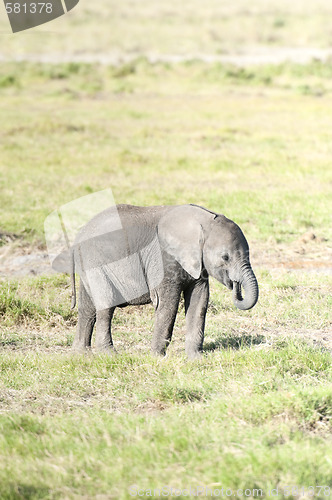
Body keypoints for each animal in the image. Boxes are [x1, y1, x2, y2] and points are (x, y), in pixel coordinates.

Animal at [68, 204, 258, 360]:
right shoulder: (163, 258)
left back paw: (81, 355)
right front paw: (158, 358)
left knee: (87, 308)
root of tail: (78, 236)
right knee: (106, 306)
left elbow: (199, 301)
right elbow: (167, 303)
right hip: (95, 262)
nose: (235, 285)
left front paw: (196, 359)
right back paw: (109, 355)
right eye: (225, 257)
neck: (202, 220)